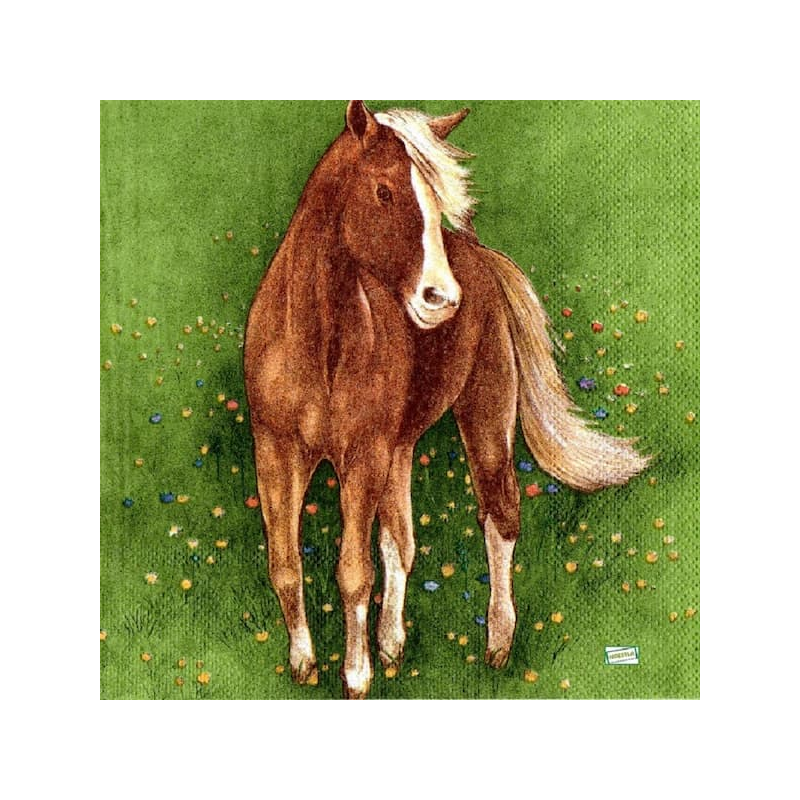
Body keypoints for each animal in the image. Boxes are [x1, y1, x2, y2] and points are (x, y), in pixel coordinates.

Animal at [244, 101, 649, 698]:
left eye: (437, 202)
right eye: (384, 190)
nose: (440, 299)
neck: (317, 342)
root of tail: (478, 258)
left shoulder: (361, 457)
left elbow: (353, 573)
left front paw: (356, 676)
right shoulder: (276, 452)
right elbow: (286, 564)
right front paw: (304, 663)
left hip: (483, 417)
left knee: (500, 517)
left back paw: (498, 645)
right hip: (398, 450)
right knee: (402, 542)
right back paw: (393, 644)